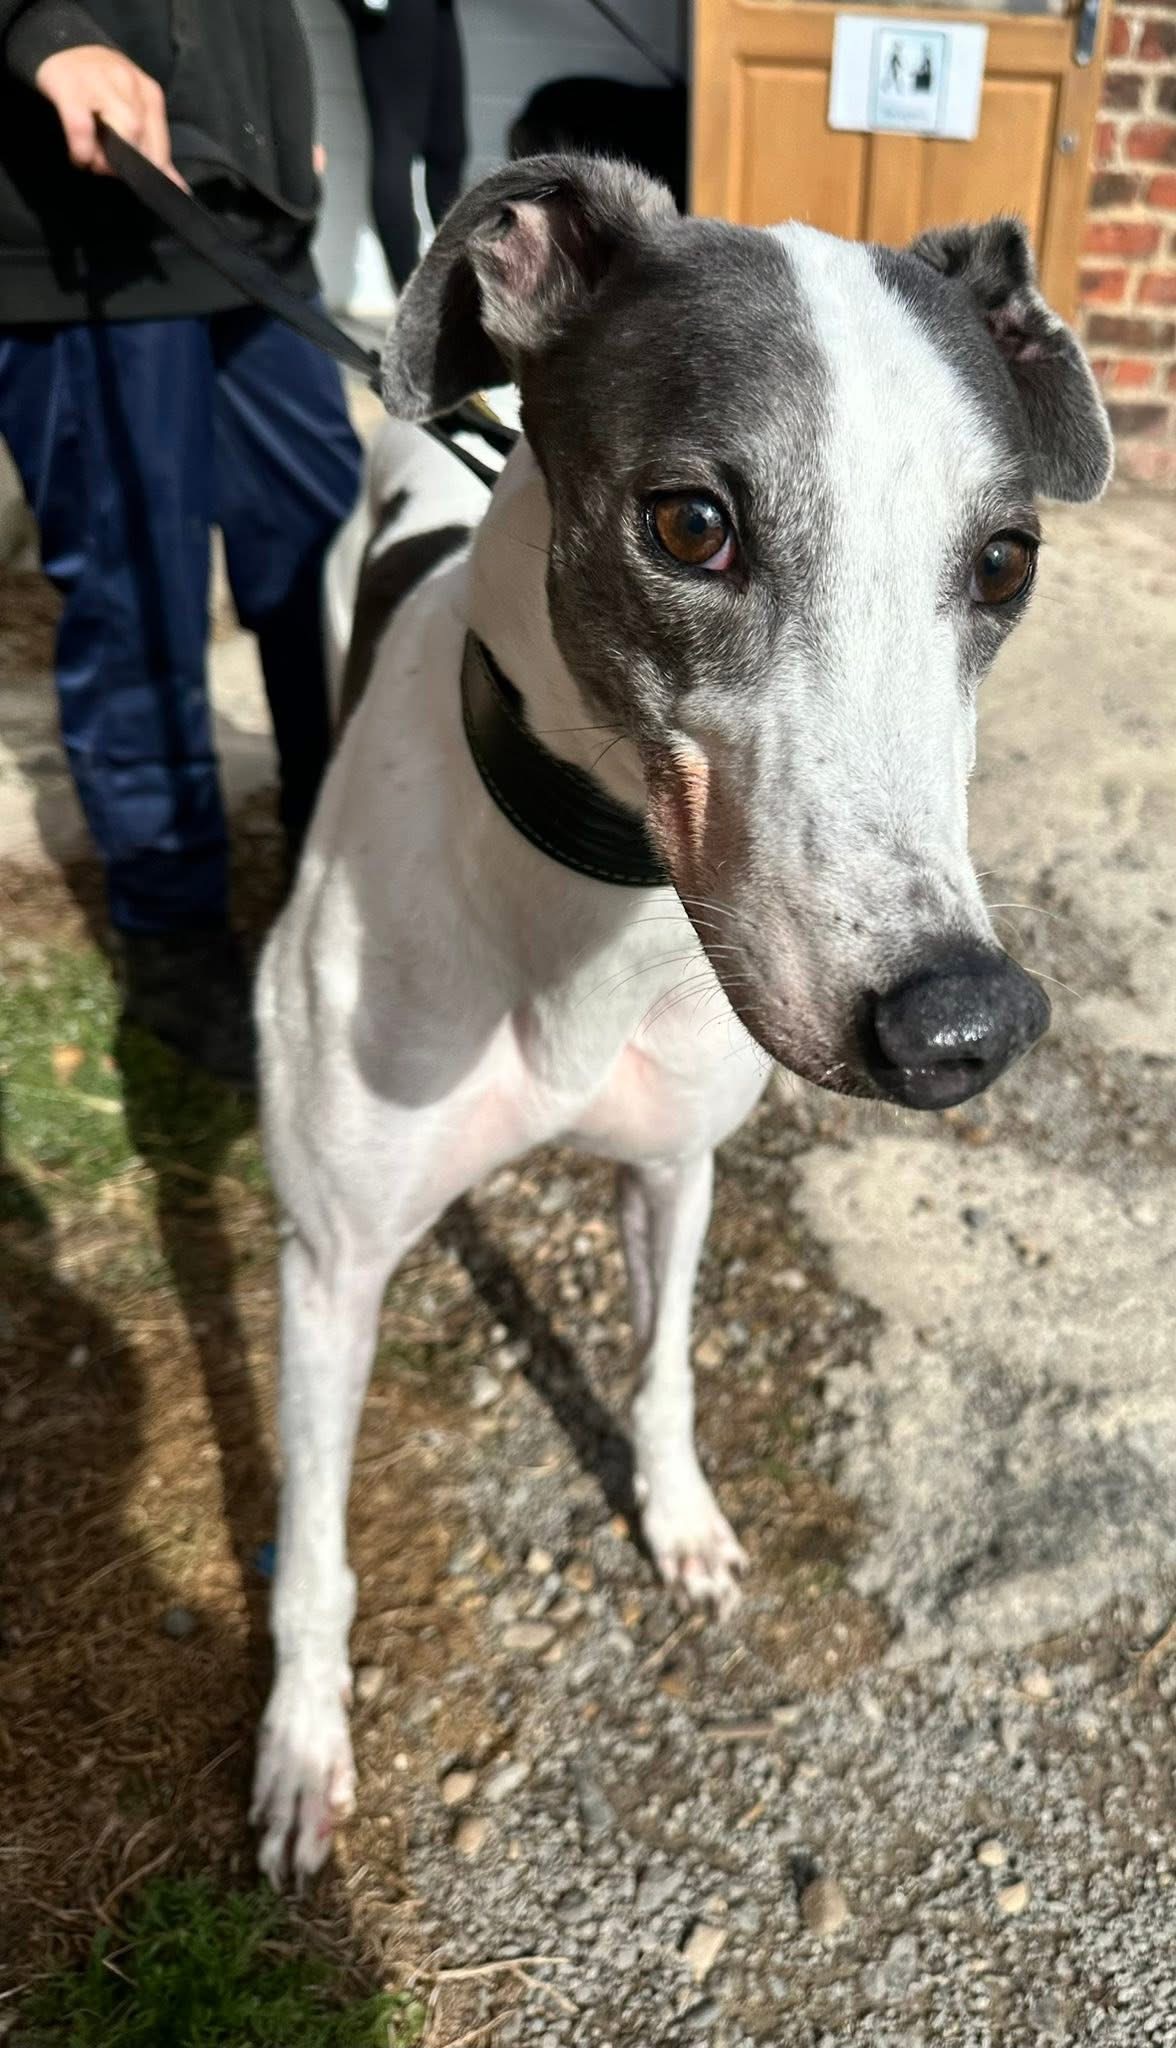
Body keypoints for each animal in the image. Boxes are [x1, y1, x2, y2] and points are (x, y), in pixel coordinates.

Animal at [250, 154, 1112, 1884]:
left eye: (1003, 562)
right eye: (691, 523)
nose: (963, 1024)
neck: (583, 903)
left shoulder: (674, 1169)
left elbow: (658, 1370)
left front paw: (685, 1524)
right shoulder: (329, 1263)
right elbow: (310, 1547)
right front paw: (301, 1748)